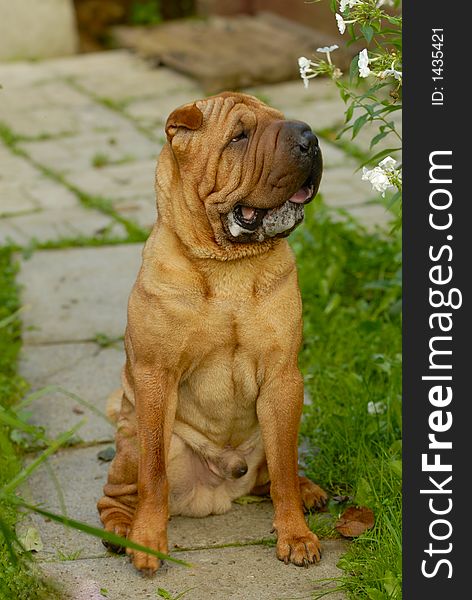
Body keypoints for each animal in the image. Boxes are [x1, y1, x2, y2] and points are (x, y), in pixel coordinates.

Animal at [97, 91, 326, 576]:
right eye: (239, 136)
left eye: (281, 119)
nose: (310, 137)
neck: (229, 266)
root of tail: (221, 491)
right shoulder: (156, 377)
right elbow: (154, 475)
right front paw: (148, 542)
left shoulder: (282, 378)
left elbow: (283, 467)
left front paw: (296, 535)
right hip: (135, 442)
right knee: (119, 492)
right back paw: (121, 529)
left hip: (276, 419)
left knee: (275, 472)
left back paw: (307, 490)